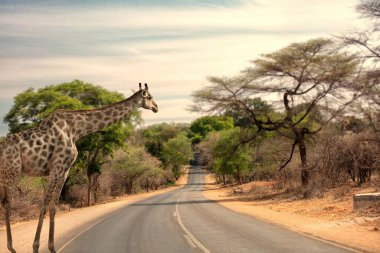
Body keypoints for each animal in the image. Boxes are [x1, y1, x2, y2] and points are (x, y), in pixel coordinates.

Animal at [0, 83, 157, 253]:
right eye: (149, 97)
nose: (156, 107)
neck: (77, 130)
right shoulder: (56, 167)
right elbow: (44, 204)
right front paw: (35, 246)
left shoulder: (65, 169)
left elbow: (53, 206)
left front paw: (52, 247)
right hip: (12, 172)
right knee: (7, 204)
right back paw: (12, 247)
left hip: (5, 175)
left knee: (4, 203)